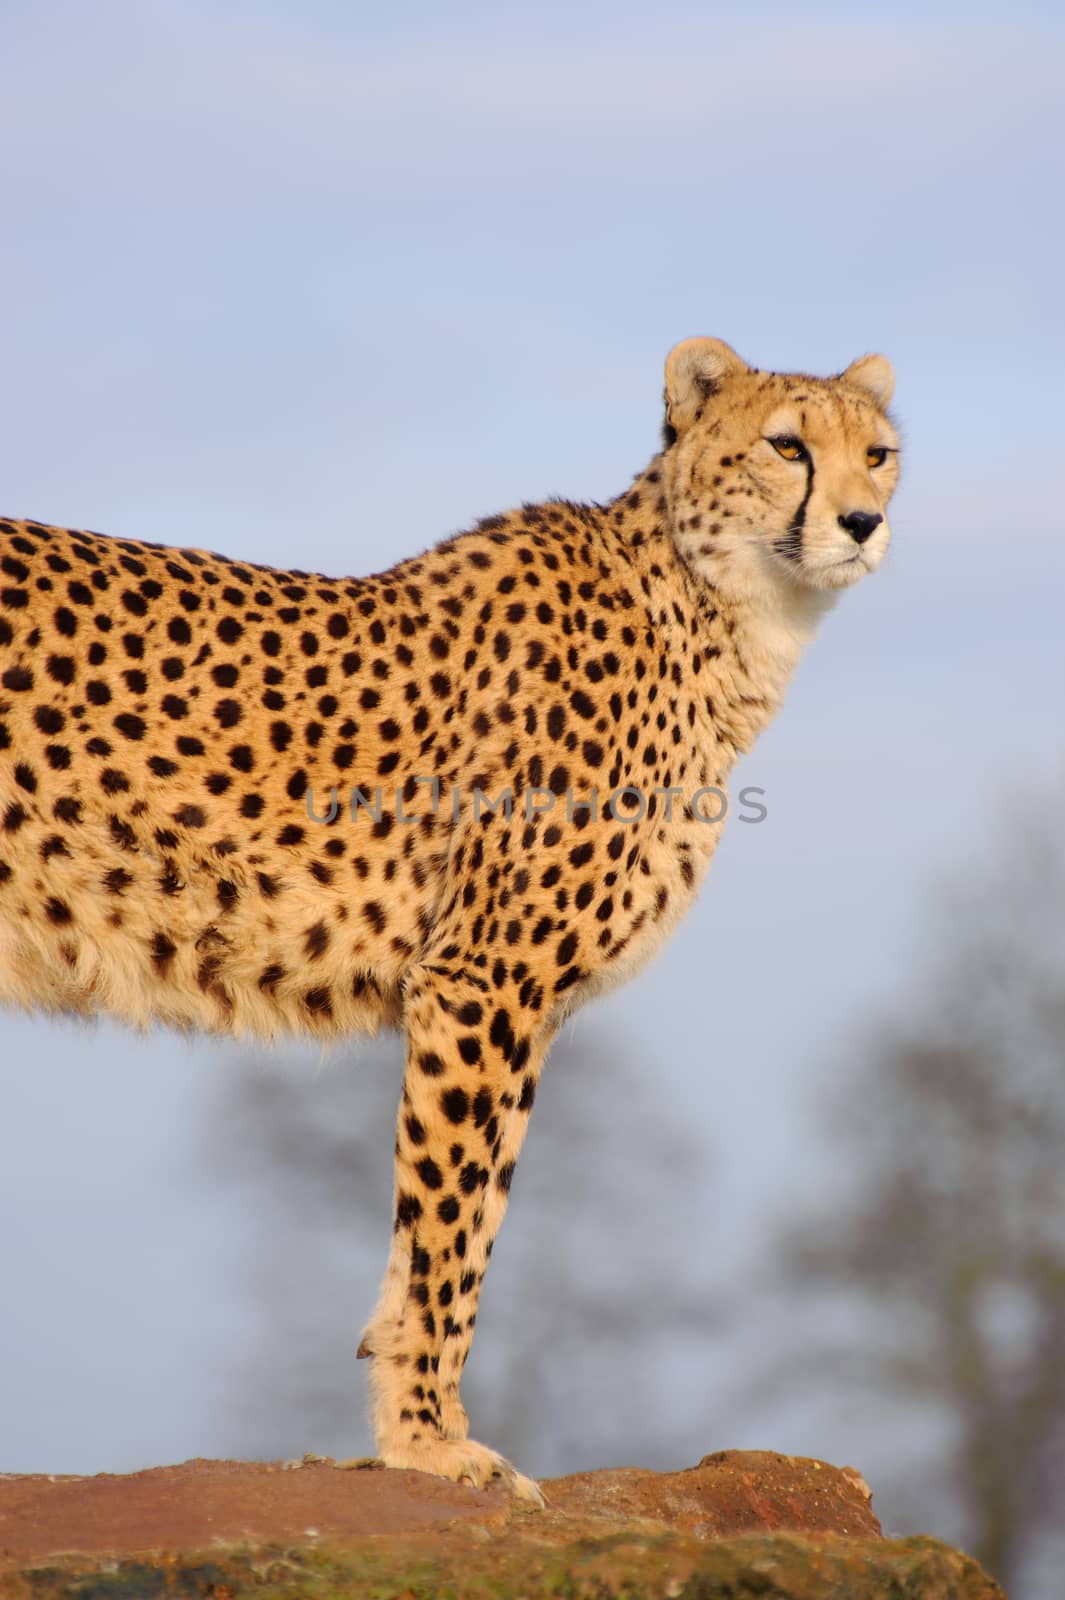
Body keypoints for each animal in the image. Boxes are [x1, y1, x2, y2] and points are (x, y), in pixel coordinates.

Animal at [0, 334, 895, 1497]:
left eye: (878, 455)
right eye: (788, 446)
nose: (863, 522)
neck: (718, 615)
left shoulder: (520, 1001)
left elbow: (469, 1210)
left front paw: (421, 1423)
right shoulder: (483, 979)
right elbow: (451, 1220)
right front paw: (428, 1438)